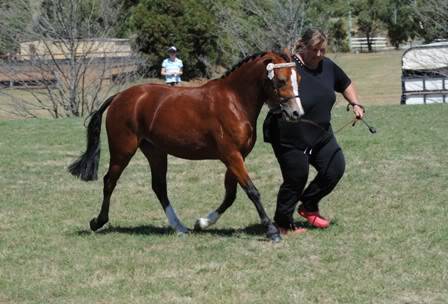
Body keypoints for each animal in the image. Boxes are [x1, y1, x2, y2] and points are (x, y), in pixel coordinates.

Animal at [68, 51, 302, 242]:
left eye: (298, 78)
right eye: (281, 80)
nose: (297, 113)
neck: (234, 101)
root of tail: (120, 96)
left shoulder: (237, 157)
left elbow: (231, 194)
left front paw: (202, 223)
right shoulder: (231, 156)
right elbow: (252, 191)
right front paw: (272, 231)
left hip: (155, 152)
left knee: (159, 187)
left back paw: (180, 227)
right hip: (123, 150)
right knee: (110, 181)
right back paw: (98, 221)